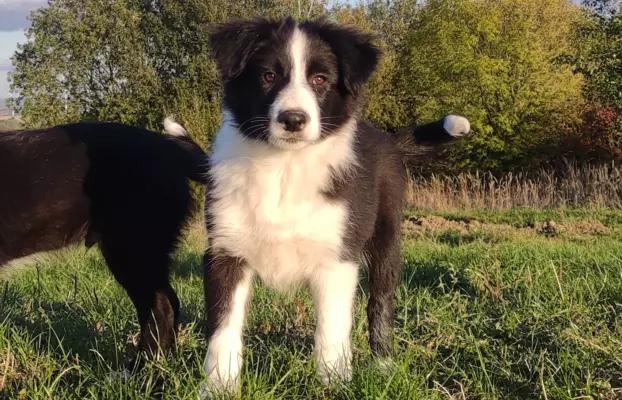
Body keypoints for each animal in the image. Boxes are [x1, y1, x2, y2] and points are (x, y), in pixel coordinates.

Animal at [202, 16, 470, 394]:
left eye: (320, 80)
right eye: (268, 75)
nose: (293, 120)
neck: (284, 166)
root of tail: (389, 140)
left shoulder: (337, 258)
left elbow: (330, 331)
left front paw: (333, 385)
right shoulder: (225, 252)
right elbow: (223, 330)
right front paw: (218, 388)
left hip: (387, 238)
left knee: (380, 305)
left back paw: (384, 366)